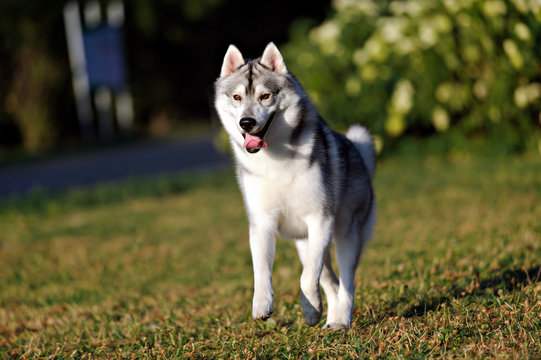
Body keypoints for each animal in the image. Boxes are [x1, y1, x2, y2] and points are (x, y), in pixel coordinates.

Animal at [213, 42, 374, 330]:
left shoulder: (321, 220)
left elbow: (307, 278)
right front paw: (263, 305)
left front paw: (310, 307)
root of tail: (357, 151)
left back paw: (341, 319)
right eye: (237, 97)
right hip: (304, 242)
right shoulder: (262, 223)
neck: (275, 156)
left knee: (346, 282)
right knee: (330, 280)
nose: (246, 122)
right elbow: (261, 271)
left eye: (265, 96)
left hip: (346, 234)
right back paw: (329, 316)